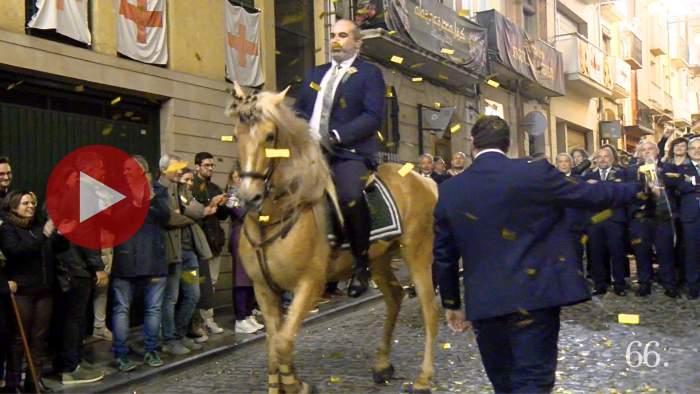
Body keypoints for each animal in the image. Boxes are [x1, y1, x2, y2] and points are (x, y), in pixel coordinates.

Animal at [224, 84, 438, 394]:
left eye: (270, 136)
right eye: (236, 134)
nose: (248, 197)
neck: (280, 212)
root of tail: (424, 179)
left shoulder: (309, 284)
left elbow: (283, 342)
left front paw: (298, 385)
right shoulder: (263, 289)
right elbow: (273, 346)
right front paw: (282, 383)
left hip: (418, 252)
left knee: (429, 308)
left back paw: (423, 378)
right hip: (380, 258)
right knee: (395, 296)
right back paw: (382, 365)